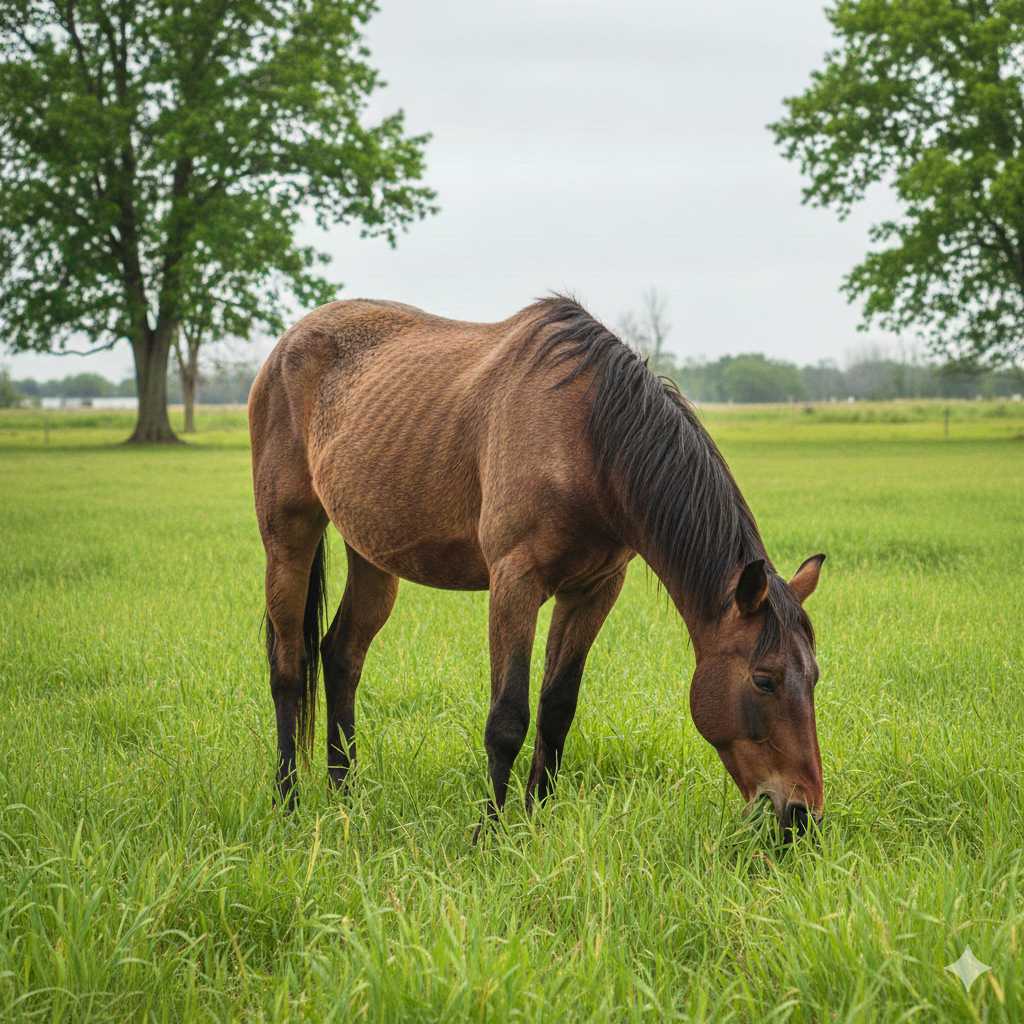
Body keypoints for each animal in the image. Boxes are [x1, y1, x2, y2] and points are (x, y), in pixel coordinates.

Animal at [248, 295, 826, 836]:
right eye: (765, 680)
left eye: (815, 677)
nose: (803, 815)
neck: (589, 439)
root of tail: (287, 344)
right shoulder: (515, 583)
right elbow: (508, 718)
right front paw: (488, 833)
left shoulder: (593, 589)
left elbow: (556, 710)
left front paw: (534, 820)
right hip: (288, 539)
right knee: (288, 665)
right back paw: (287, 800)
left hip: (371, 555)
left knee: (341, 655)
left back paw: (345, 795)